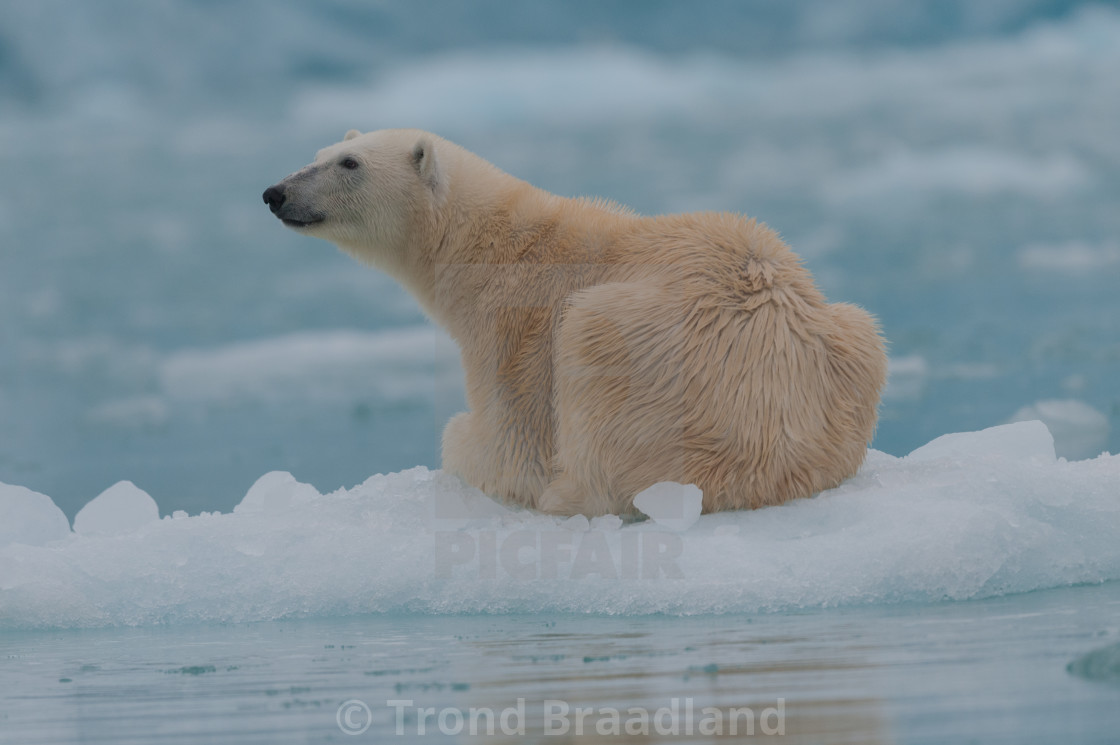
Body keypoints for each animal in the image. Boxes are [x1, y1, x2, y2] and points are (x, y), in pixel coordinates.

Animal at [262, 127, 882, 515]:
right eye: (318, 151)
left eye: (349, 163)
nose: (275, 192)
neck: (490, 246)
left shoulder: (513, 325)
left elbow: (509, 449)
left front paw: (467, 444)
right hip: (844, 339)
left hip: (645, 351)